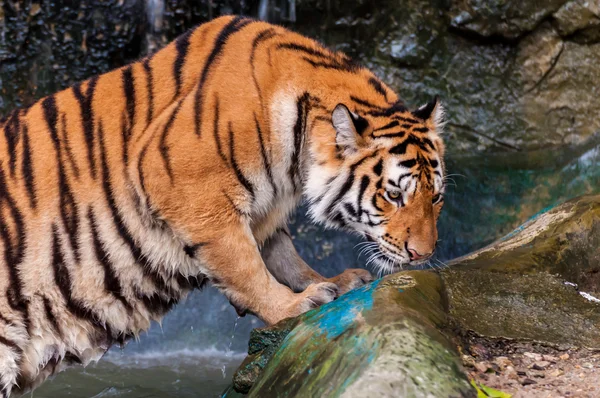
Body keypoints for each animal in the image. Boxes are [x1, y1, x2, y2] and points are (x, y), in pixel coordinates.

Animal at [0, 14, 446, 394]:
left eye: (436, 197)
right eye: (393, 195)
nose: (423, 254)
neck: (297, 158)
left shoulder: (265, 208)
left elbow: (282, 254)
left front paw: (329, 281)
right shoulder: (187, 187)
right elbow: (246, 267)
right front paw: (295, 304)